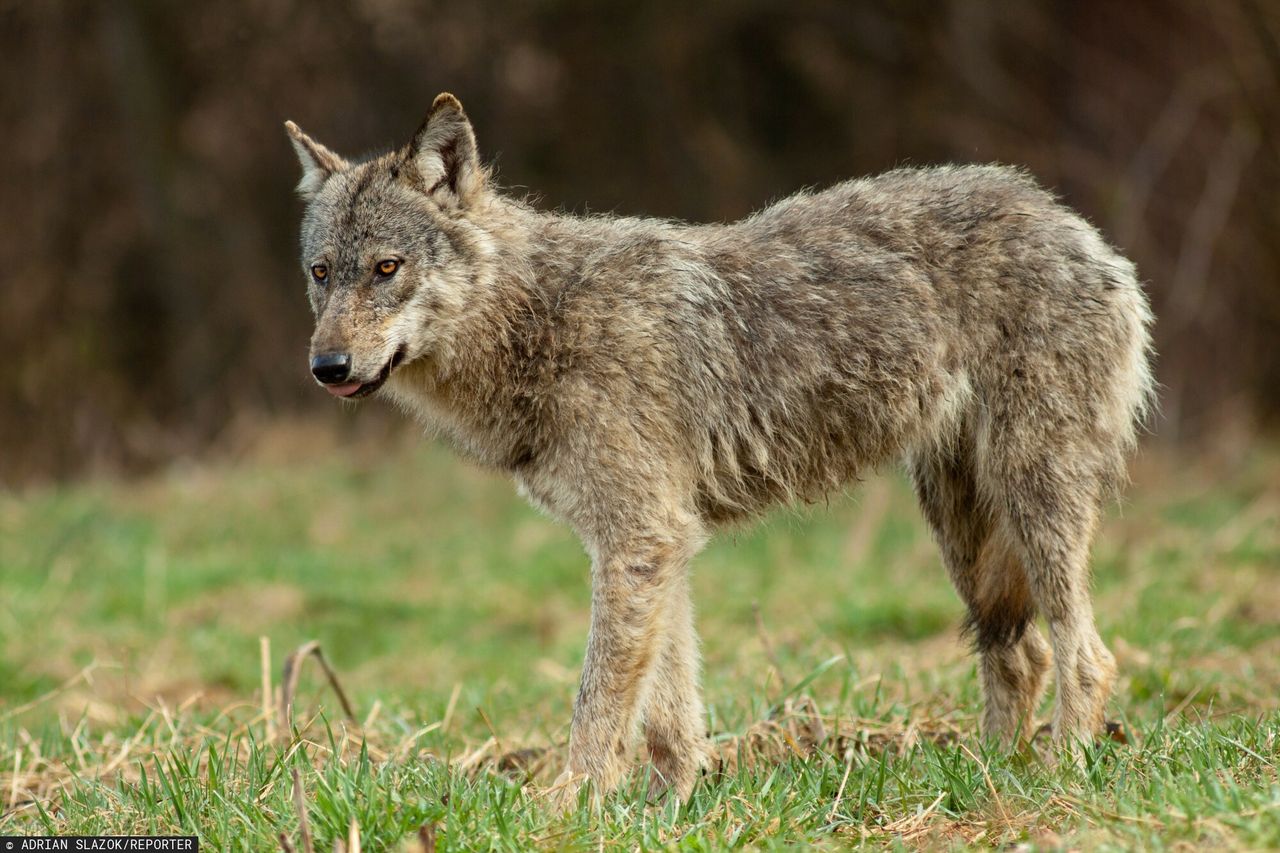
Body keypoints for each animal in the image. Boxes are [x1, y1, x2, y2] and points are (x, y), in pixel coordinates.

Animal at [288, 96, 1162, 799]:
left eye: (387, 268)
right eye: (322, 274)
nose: (326, 367)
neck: (540, 318)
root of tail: (1075, 224)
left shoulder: (640, 537)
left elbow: (599, 703)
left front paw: (565, 808)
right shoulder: (656, 541)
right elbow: (670, 716)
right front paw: (665, 809)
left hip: (1032, 497)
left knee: (1089, 656)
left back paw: (1055, 779)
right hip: (965, 532)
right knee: (1023, 655)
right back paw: (988, 779)